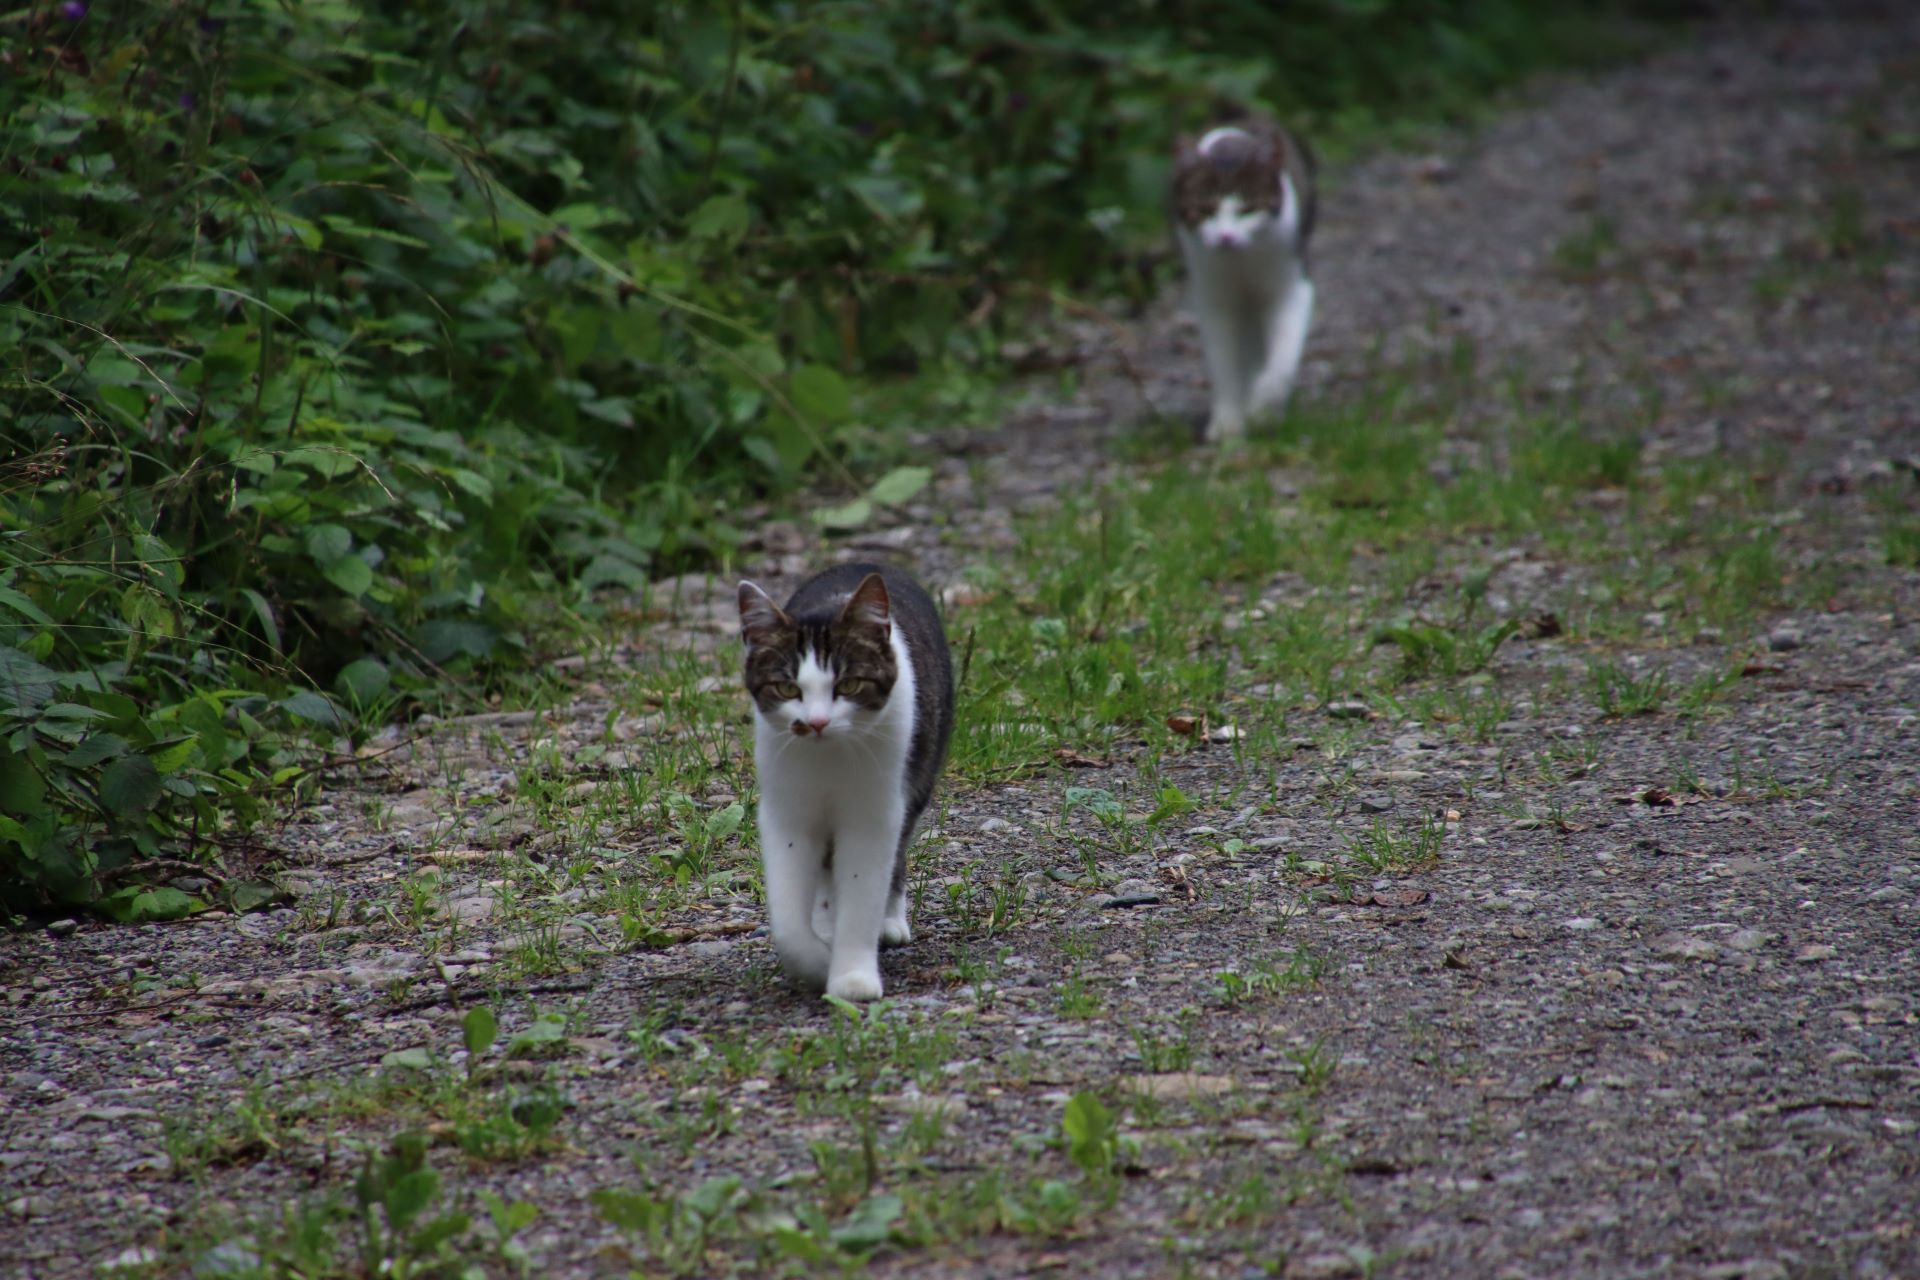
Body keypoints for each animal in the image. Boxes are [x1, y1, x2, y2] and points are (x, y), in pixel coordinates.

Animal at [733, 564, 952, 997]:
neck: (828, 758)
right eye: (787, 687)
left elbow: (863, 886)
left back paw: (889, 920)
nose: (817, 722)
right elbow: (788, 918)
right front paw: (818, 960)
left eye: (848, 684)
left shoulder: (874, 811)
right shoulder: (787, 810)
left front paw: (852, 978)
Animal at [1167, 118, 1320, 445]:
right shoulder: (1213, 296)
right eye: (1205, 209)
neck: (1241, 264)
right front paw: (1228, 422)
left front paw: (1263, 409)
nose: (1226, 237)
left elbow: (1283, 359)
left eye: (1248, 209)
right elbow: (1223, 361)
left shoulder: (1292, 287)